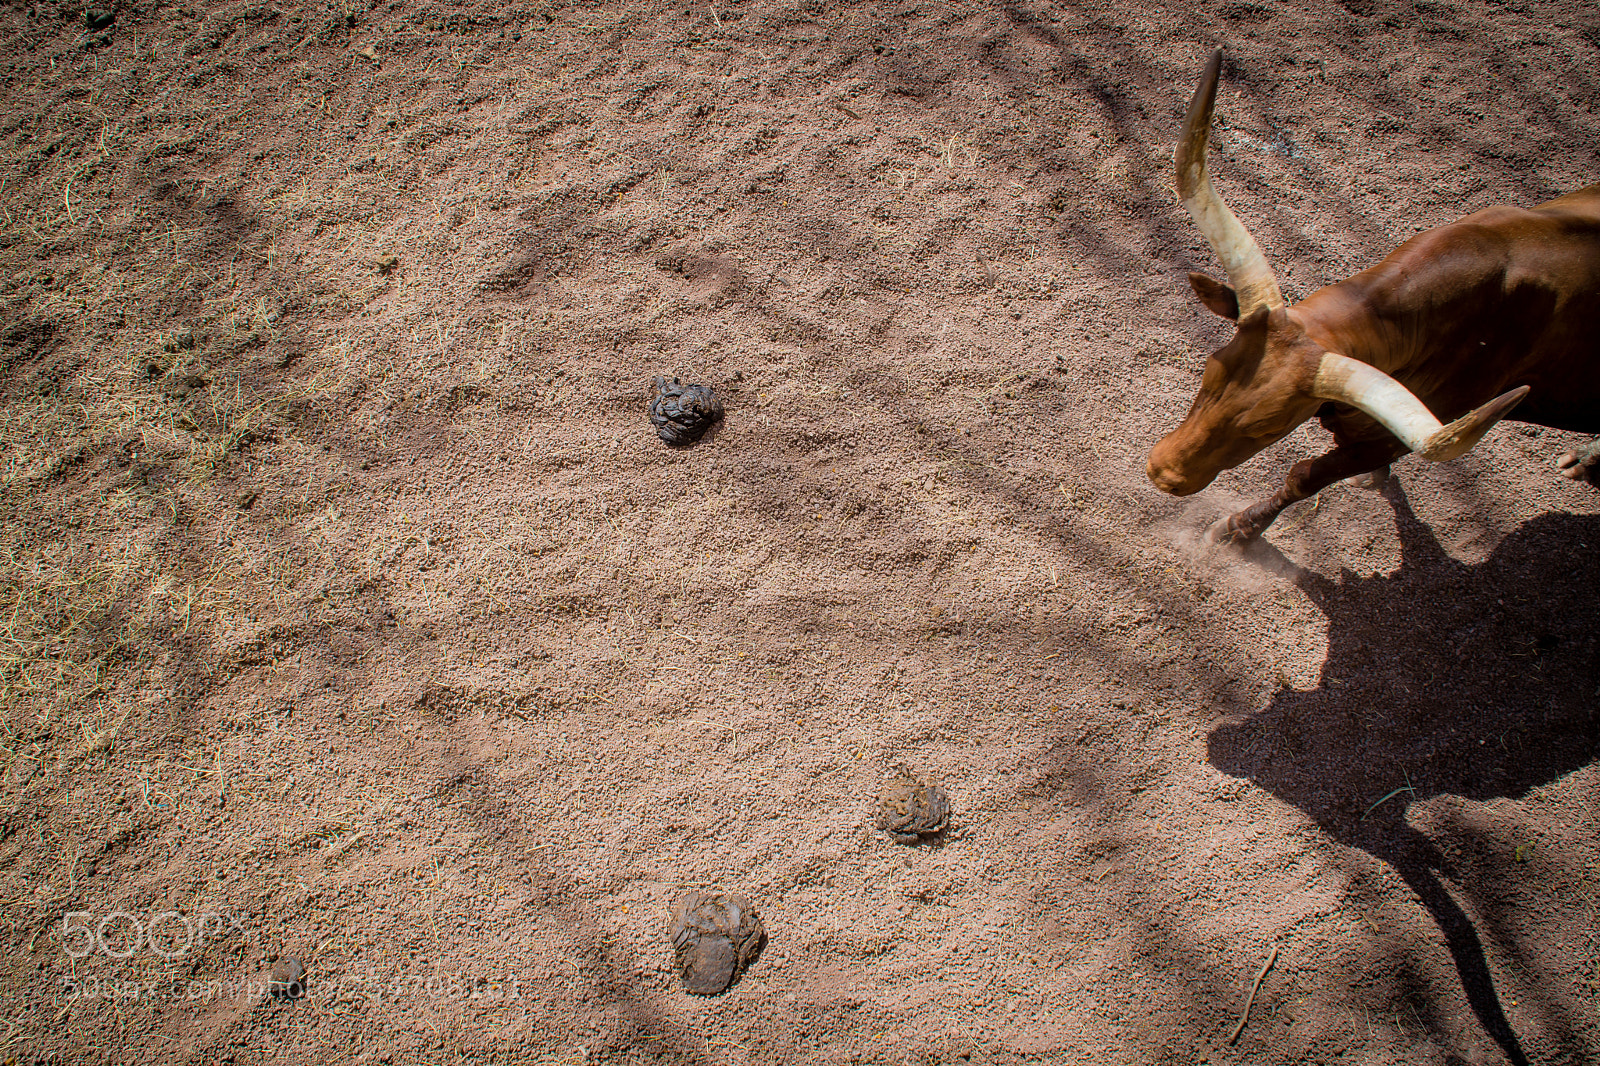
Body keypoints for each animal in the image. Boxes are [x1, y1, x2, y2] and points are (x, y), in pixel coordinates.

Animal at [1145, 50, 1600, 545]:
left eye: (1268, 427)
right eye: (1210, 369)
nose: (1162, 473)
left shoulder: (1381, 442)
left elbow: (1305, 477)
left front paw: (1240, 528)